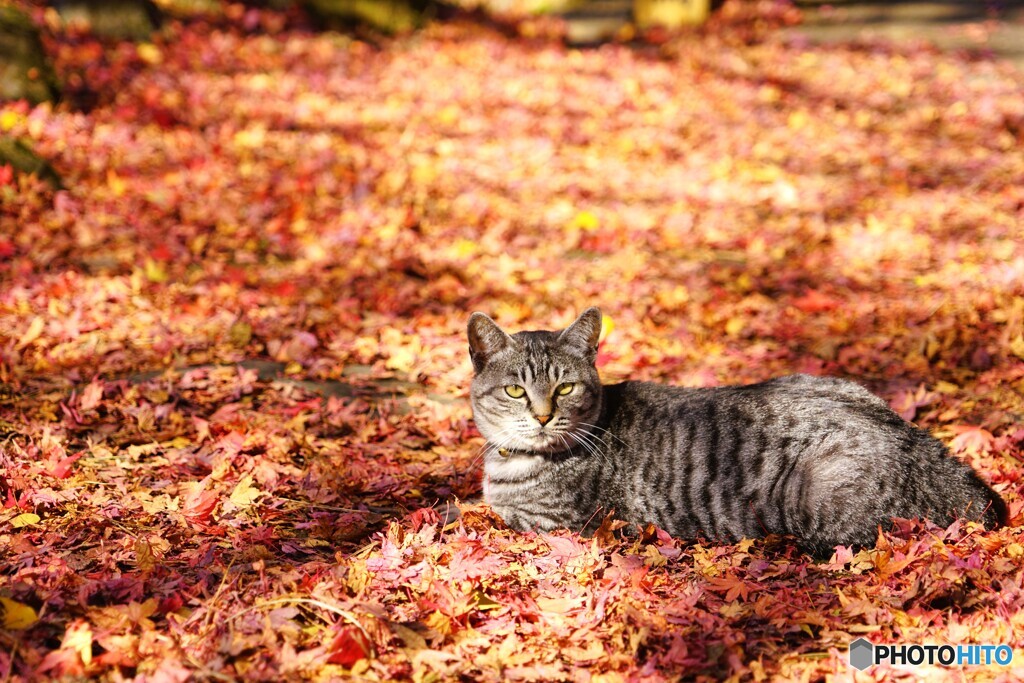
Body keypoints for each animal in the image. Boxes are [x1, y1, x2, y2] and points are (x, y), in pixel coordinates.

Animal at [466, 309, 1007, 557]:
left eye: (566, 388)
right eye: (515, 391)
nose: (542, 416)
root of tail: (914, 438)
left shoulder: (555, 523)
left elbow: (485, 514)